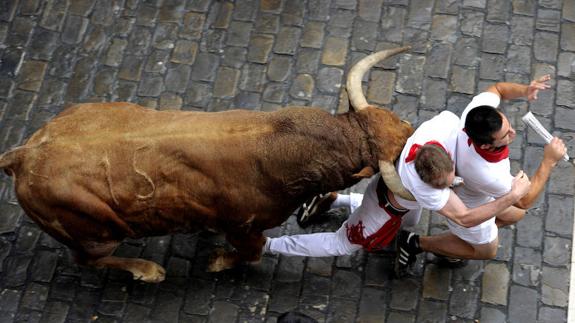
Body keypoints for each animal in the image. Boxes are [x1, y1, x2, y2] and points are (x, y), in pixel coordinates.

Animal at [0, 47, 414, 284]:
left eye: (400, 121)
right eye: (396, 151)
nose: (415, 133)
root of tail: (22, 155)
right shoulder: (243, 227)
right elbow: (252, 252)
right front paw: (217, 262)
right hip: (97, 233)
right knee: (89, 261)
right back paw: (147, 271)